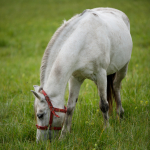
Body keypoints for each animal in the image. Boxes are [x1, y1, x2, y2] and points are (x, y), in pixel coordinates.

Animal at [30, 7, 132, 142]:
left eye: (40, 115)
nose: (39, 141)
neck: (83, 42)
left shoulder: (101, 74)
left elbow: (104, 105)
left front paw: (107, 131)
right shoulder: (75, 78)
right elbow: (70, 107)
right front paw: (64, 136)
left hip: (123, 67)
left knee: (116, 86)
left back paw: (120, 114)